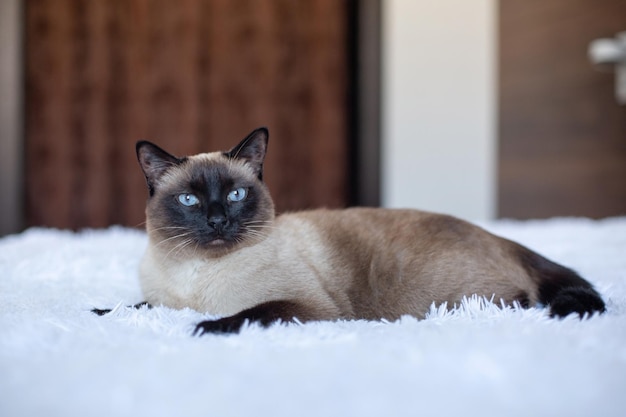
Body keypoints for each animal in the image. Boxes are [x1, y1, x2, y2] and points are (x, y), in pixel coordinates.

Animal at [95, 127, 604, 332]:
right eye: (190, 200)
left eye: (236, 195)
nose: (219, 221)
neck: (195, 277)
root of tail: (506, 241)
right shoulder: (163, 300)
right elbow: (134, 305)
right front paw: (98, 312)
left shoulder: (308, 308)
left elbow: (248, 314)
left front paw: (203, 327)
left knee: (521, 301)